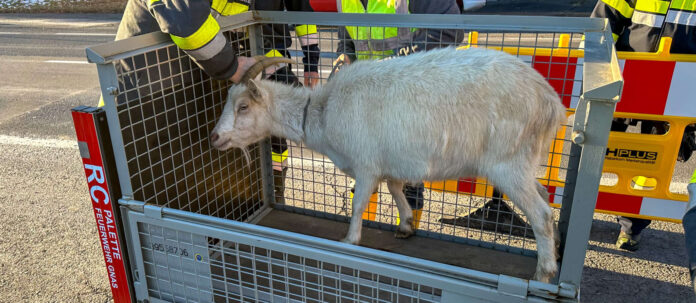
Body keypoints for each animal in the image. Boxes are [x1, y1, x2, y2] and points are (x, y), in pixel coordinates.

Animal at [211, 47, 564, 282]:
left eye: (243, 106)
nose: (214, 137)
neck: (322, 112)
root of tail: (551, 102)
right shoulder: (388, 162)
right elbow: (396, 189)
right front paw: (406, 226)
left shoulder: (365, 164)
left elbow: (357, 205)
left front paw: (349, 240)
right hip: (524, 161)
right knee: (544, 196)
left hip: (507, 163)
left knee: (542, 214)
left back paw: (545, 273)